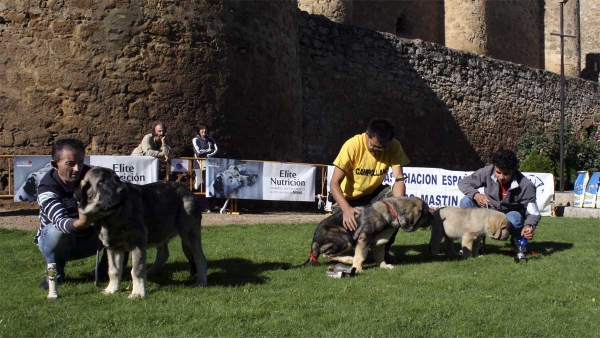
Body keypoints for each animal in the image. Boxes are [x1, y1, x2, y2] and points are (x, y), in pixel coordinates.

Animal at [74, 166, 209, 298]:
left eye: (117, 179)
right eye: (102, 181)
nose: (122, 190)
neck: (108, 217)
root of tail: (188, 190)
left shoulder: (137, 241)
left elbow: (136, 270)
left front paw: (138, 292)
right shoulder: (112, 246)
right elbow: (113, 270)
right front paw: (111, 289)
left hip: (189, 234)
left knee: (200, 258)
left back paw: (201, 282)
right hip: (159, 229)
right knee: (164, 253)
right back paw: (151, 271)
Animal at [298, 195, 432, 272]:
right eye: (426, 212)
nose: (434, 217)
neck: (392, 212)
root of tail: (314, 242)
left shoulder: (380, 242)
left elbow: (380, 256)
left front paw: (383, 266)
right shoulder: (364, 238)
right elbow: (361, 256)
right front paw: (357, 269)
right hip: (345, 240)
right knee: (327, 254)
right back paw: (349, 259)